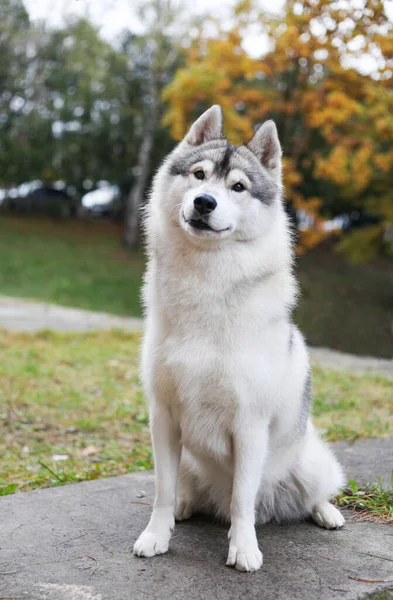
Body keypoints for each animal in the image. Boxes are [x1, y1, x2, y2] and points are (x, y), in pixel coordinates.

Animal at [134, 106, 344, 572]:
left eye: (238, 186)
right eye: (199, 175)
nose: (204, 202)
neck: (206, 281)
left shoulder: (249, 426)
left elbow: (242, 500)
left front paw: (244, 548)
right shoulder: (163, 418)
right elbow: (162, 491)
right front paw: (156, 535)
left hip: (310, 462)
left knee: (310, 493)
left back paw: (326, 512)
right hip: (189, 462)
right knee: (188, 494)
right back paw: (184, 510)